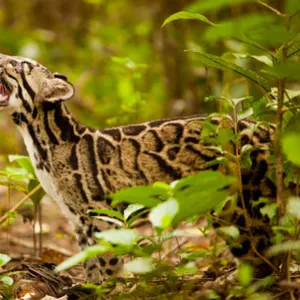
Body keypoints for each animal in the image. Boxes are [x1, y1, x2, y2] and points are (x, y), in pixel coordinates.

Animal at [0, 54, 278, 284]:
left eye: (17, 64)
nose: (2, 56)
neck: (41, 141)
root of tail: (268, 127)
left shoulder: (103, 215)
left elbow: (108, 261)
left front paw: (112, 289)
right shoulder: (77, 219)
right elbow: (90, 262)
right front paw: (92, 288)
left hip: (241, 205)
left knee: (265, 254)